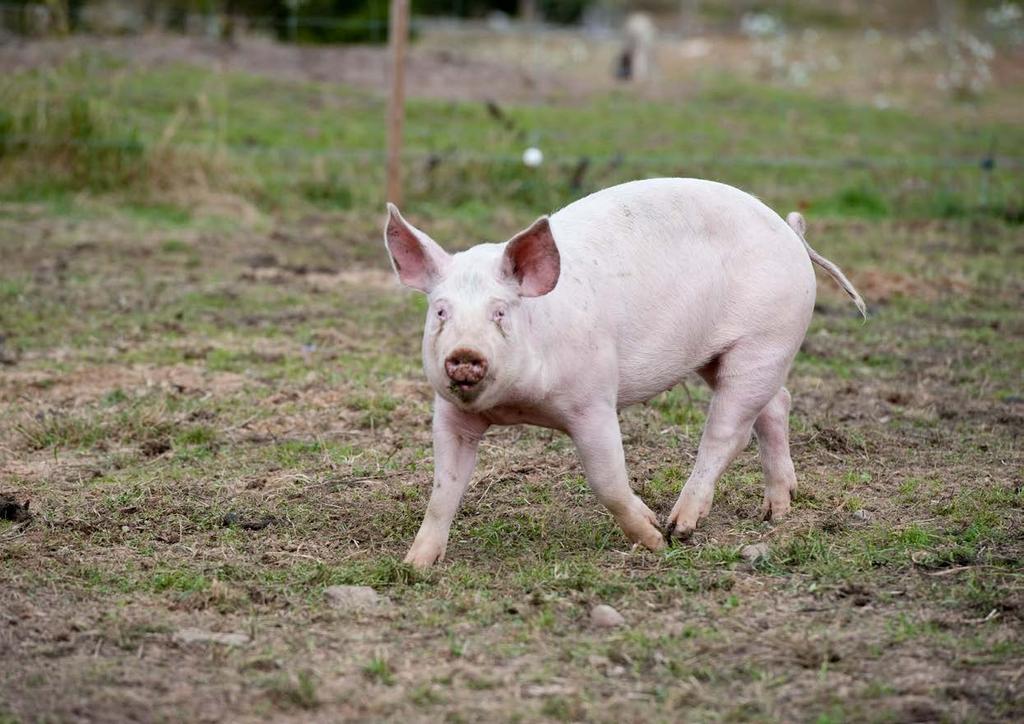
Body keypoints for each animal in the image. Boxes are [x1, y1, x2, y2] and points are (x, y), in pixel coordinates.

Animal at [385, 178, 864, 569]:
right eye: (440, 310)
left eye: (500, 312)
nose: (465, 354)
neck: (518, 406)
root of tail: (791, 232)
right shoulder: (451, 414)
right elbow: (443, 489)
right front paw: (415, 566)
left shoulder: (594, 400)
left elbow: (608, 482)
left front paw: (653, 540)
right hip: (725, 357)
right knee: (776, 405)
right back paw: (776, 511)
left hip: (764, 343)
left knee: (729, 432)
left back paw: (681, 526)